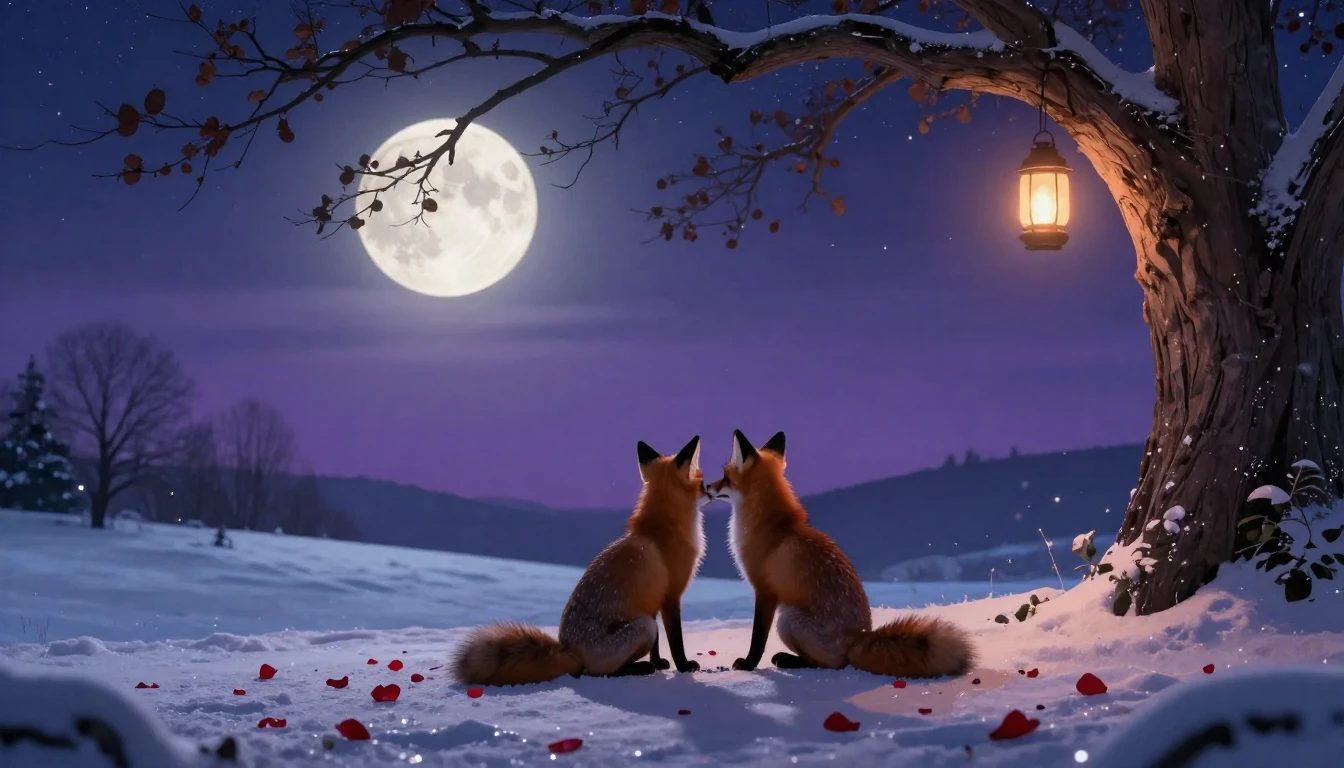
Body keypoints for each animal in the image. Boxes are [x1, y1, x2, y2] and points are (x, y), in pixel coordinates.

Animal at [450, 435, 711, 686]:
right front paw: (684, 667)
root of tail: (569, 651)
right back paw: (638, 668)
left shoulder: (653, 599)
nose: (710, 492)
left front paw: (660, 663)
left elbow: (657, 646)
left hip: (646, 622)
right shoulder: (671, 596)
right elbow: (676, 641)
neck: (661, 528)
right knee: (595, 673)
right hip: (644, 626)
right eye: (702, 483)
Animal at [708, 429, 976, 678]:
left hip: (788, 619)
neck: (773, 526)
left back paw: (788, 660)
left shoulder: (765, 591)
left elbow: (757, 639)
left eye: (725, 477)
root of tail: (859, 638)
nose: (707, 487)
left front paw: (748, 664)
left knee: (832, 664)